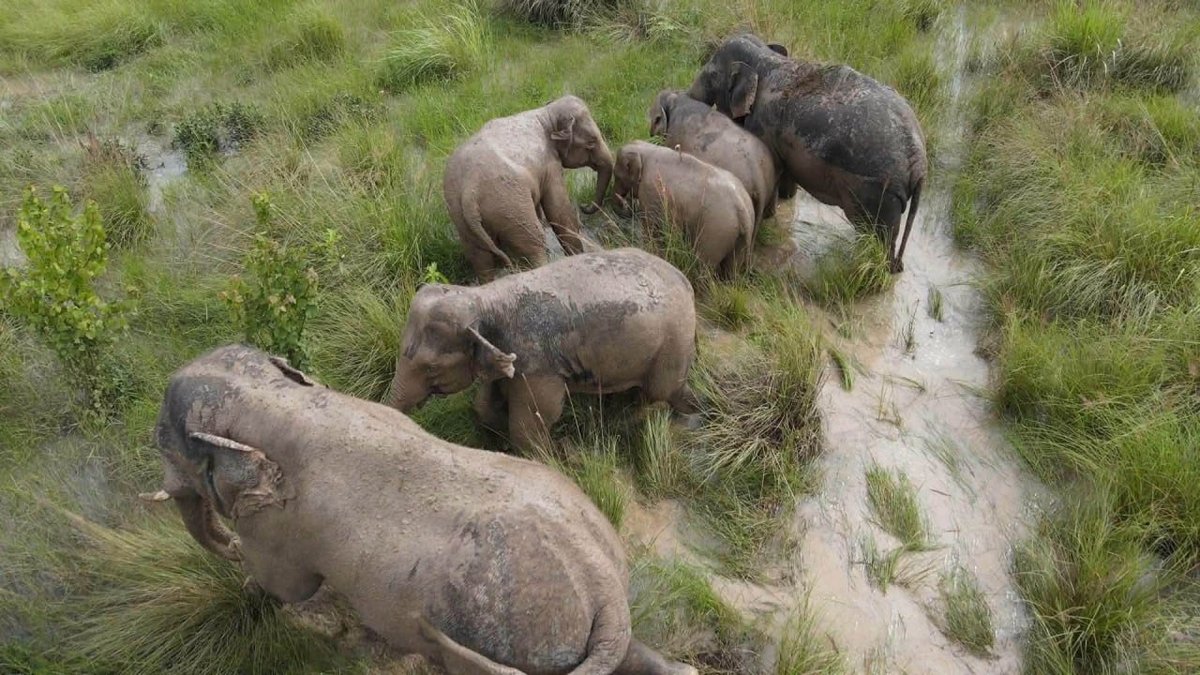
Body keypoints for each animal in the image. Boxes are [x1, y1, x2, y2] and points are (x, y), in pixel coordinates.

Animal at [144, 344, 697, 675]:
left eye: (166, 443)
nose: (228, 545)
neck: (275, 399)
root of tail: (603, 588)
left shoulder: (279, 527)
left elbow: (286, 585)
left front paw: (250, 585)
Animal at [388, 248, 697, 452]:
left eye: (431, 368)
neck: (485, 298)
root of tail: (685, 279)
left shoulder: (539, 365)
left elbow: (534, 420)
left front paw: (549, 455)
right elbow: (484, 402)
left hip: (674, 341)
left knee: (662, 391)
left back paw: (685, 412)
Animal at [444, 95, 614, 281]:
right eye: (591, 142)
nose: (584, 206)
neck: (545, 114)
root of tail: (469, 192)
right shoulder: (550, 165)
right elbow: (559, 212)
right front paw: (578, 256)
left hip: (463, 220)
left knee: (481, 260)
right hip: (511, 207)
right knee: (534, 246)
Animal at [612, 140, 755, 276]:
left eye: (616, 175)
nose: (625, 205)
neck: (647, 149)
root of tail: (743, 211)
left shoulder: (651, 192)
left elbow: (650, 226)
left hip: (717, 229)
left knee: (703, 264)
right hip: (737, 236)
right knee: (731, 269)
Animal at [688, 33, 927, 273]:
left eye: (712, 75)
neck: (766, 58)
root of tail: (919, 164)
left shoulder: (764, 125)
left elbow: (773, 169)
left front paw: (770, 214)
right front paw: (786, 199)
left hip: (877, 192)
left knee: (877, 236)